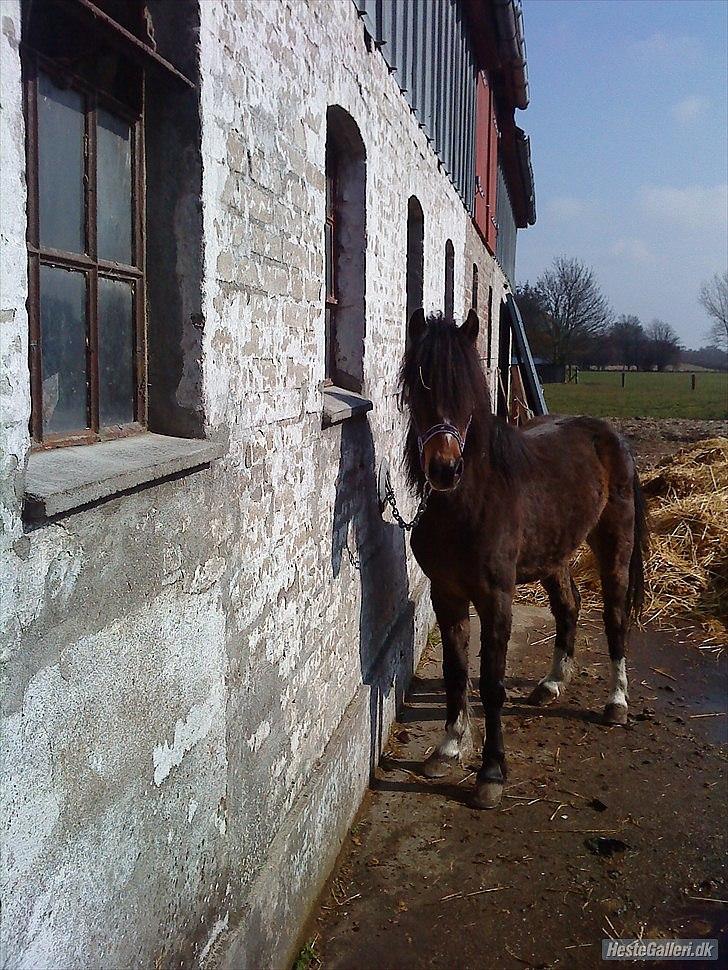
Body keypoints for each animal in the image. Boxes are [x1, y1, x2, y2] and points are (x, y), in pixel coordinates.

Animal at [399, 308, 649, 809]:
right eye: (420, 387)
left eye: (467, 391)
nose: (444, 469)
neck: (469, 501)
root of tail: (611, 436)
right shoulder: (447, 595)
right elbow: (456, 672)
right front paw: (448, 748)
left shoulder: (496, 598)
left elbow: (491, 684)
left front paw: (491, 773)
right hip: (556, 555)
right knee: (569, 607)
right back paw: (551, 685)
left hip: (614, 545)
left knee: (614, 618)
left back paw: (616, 703)